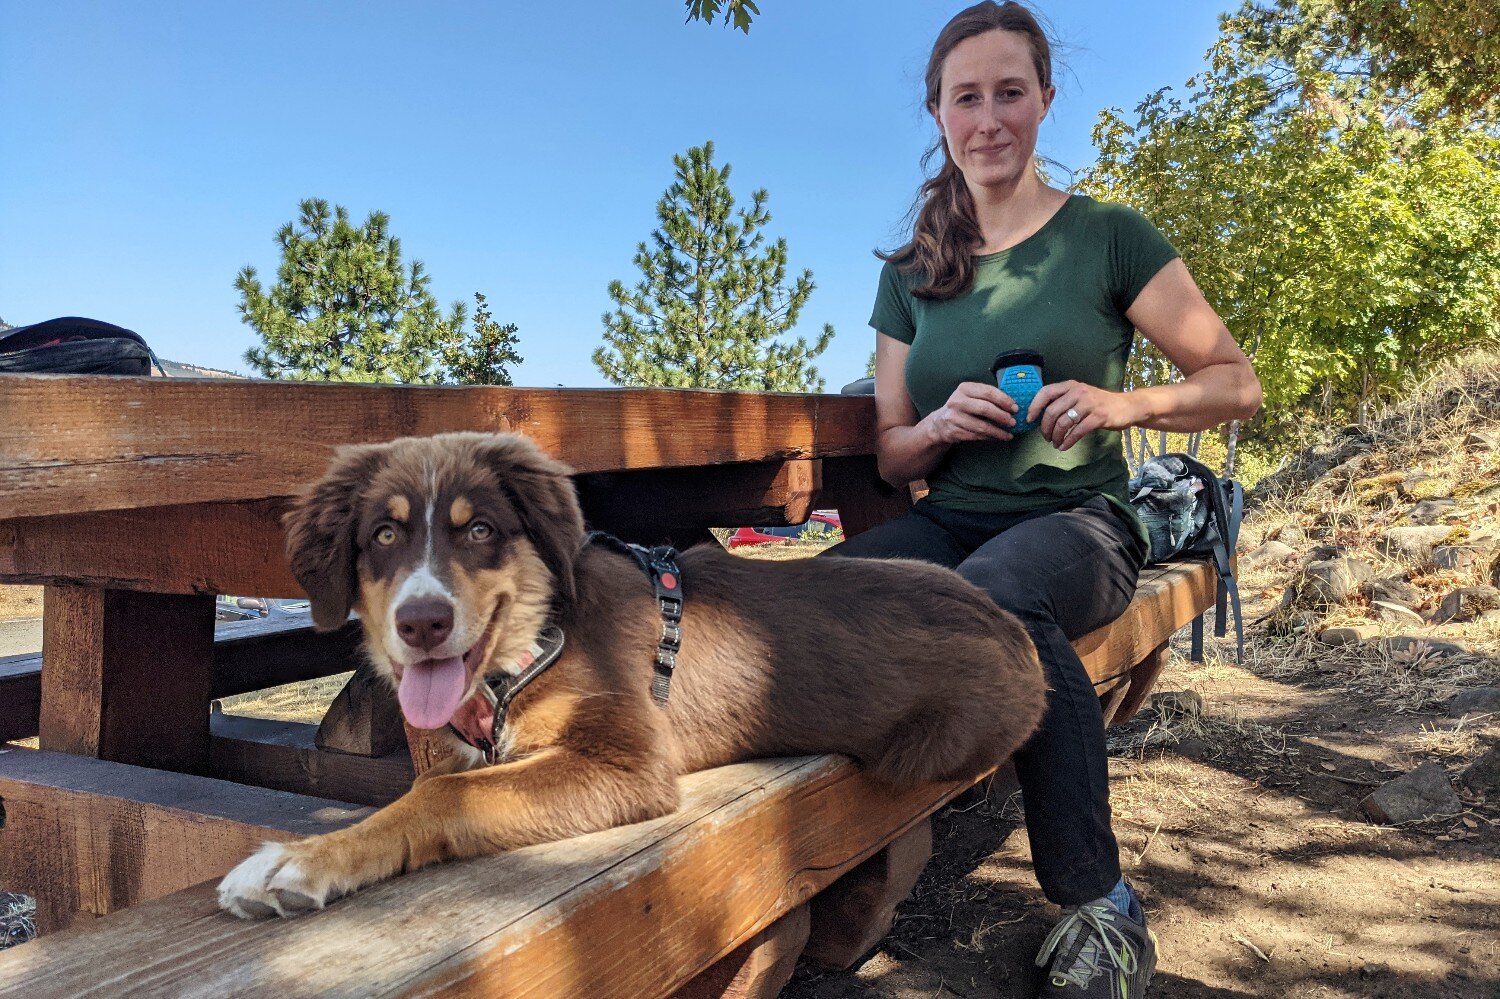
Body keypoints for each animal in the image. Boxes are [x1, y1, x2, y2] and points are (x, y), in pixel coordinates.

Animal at [219, 429, 1044, 918]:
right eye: (383, 535)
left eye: (481, 529)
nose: (421, 624)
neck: (531, 646)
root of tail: (1013, 624)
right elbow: (439, 782)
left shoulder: (630, 762)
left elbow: (445, 795)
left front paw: (295, 860)